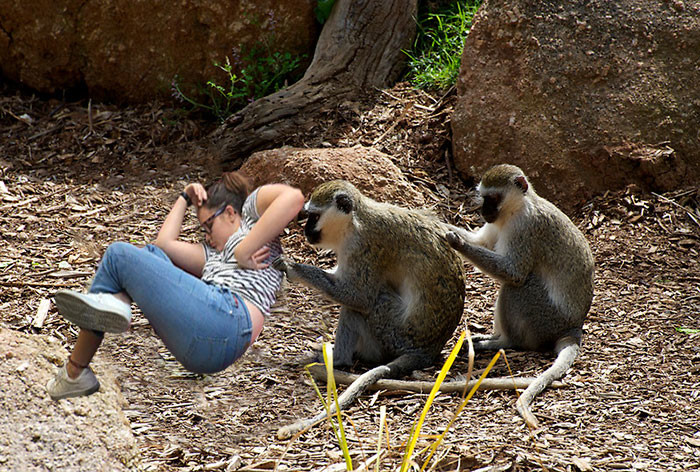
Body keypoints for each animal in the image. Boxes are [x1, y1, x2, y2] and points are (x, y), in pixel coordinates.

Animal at [274, 181, 464, 438]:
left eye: (314, 216)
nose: (306, 231)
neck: (355, 220)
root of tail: (428, 350)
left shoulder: (364, 247)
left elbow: (358, 296)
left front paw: (292, 267)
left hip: (390, 332)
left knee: (360, 307)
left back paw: (338, 359)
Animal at [446, 165, 592, 428]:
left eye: (493, 198)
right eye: (484, 197)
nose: (483, 211)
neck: (516, 208)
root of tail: (573, 327)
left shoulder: (526, 227)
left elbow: (513, 273)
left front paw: (457, 242)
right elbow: (483, 241)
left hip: (544, 318)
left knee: (518, 287)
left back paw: (503, 342)